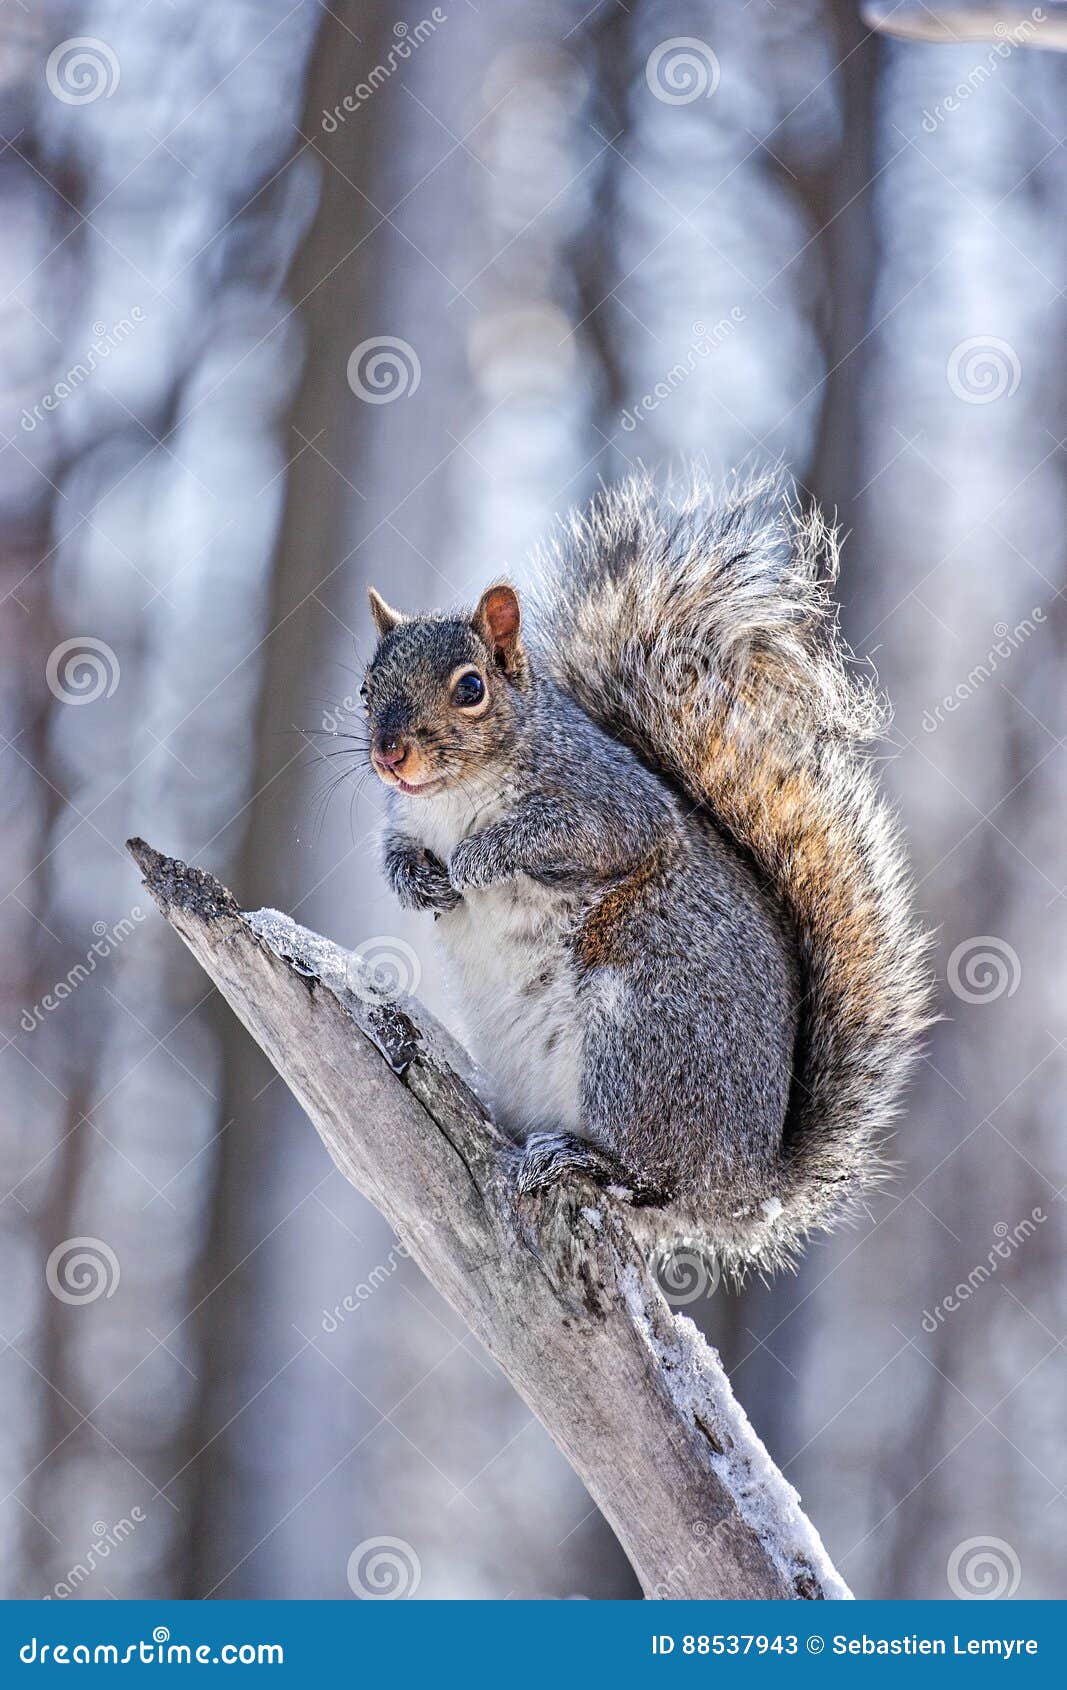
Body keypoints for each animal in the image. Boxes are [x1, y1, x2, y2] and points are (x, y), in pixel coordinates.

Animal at [361, 470, 931, 1275]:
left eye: (470, 688)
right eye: (364, 689)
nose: (389, 755)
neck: (452, 797)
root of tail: (747, 1187)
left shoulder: (608, 805)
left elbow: (571, 837)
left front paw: (476, 860)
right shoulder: (404, 821)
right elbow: (394, 855)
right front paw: (419, 882)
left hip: (637, 1042)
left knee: (653, 1183)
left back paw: (585, 1160)